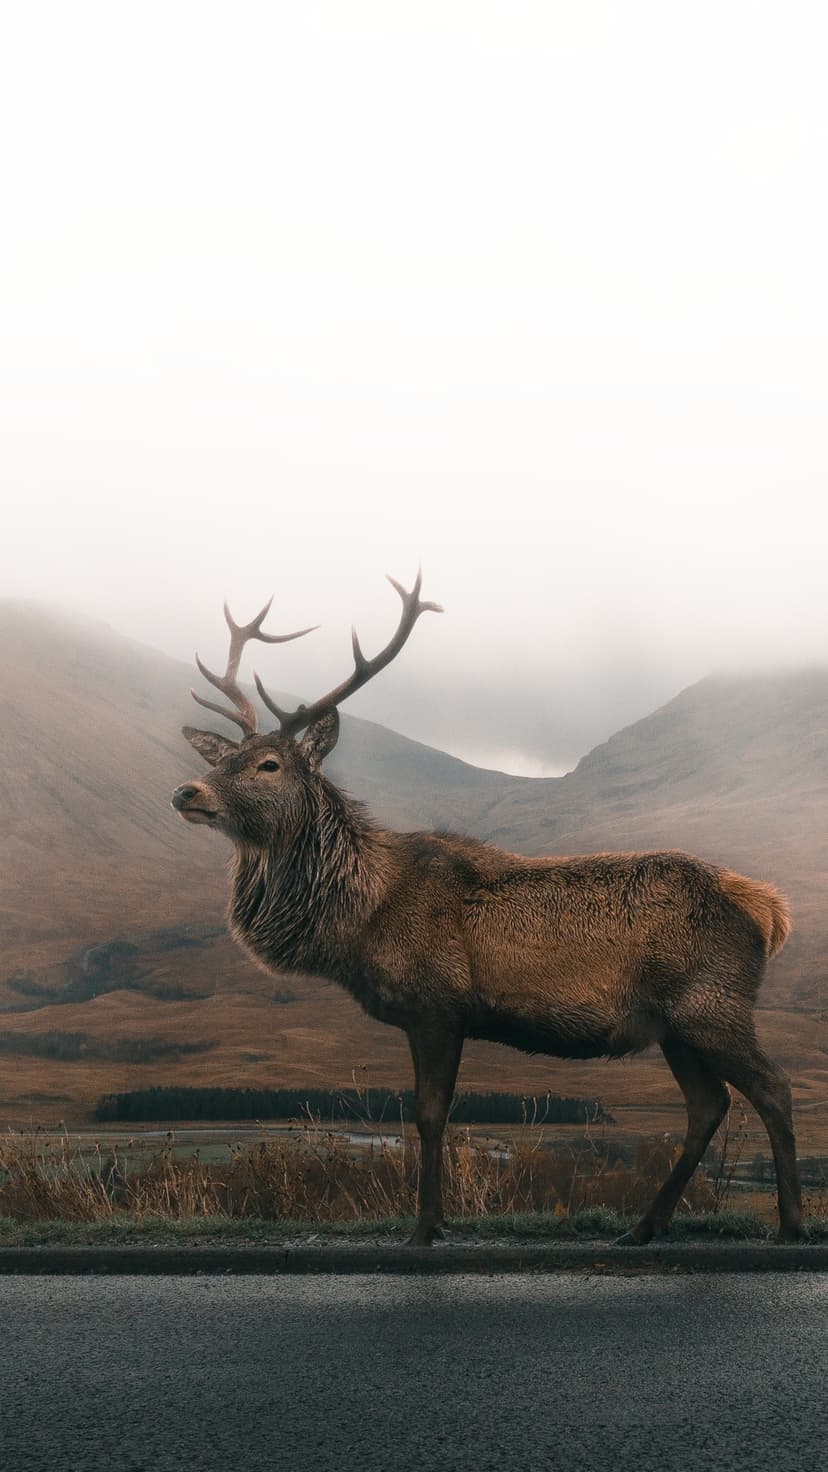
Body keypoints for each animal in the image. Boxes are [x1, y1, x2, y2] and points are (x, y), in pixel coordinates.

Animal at [171, 573, 803, 1246]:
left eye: (269, 764)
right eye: (220, 760)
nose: (187, 791)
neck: (358, 919)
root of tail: (768, 910)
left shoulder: (438, 1006)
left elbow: (428, 1116)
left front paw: (424, 1227)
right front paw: (437, 1219)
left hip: (713, 1004)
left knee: (773, 1086)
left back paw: (789, 1224)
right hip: (675, 1025)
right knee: (709, 1105)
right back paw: (643, 1226)